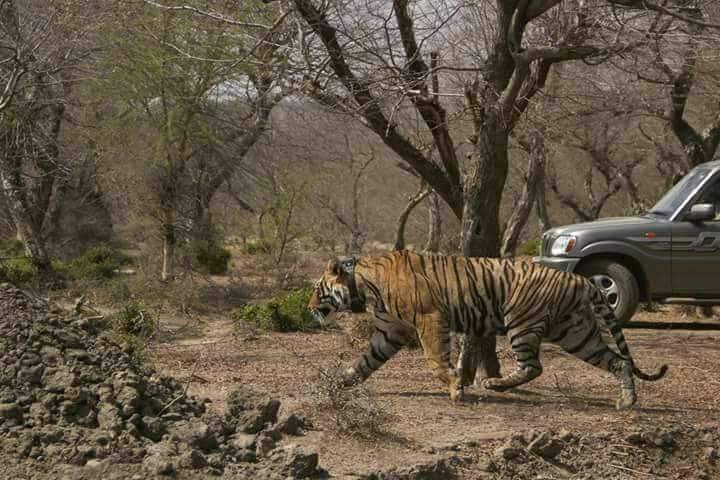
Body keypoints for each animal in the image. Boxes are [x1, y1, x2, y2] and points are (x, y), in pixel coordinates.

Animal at [308, 250, 668, 410]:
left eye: (316, 288)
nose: (309, 306)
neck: (362, 285)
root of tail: (580, 279)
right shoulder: (389, 332)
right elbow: (366, 361)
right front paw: (342, 381)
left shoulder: (429, 319)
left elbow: (436, 359)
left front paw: (456, 388)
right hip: (577, 334)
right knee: (617, 361)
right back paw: (627, 401)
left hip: (522, 322)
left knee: (533, 366)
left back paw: (493, 383)